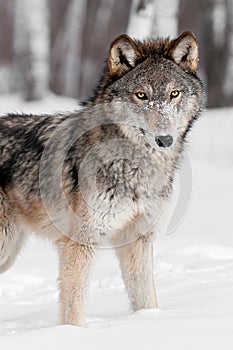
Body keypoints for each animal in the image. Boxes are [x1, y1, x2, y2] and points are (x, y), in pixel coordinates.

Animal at [0, 31, 204, 326]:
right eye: (141, 95)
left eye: (174, 94)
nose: (165, 139)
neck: (135, 166)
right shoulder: (80, 243)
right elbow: (74, 311)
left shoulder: (138, 239)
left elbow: (147, 300)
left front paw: (150, 323)